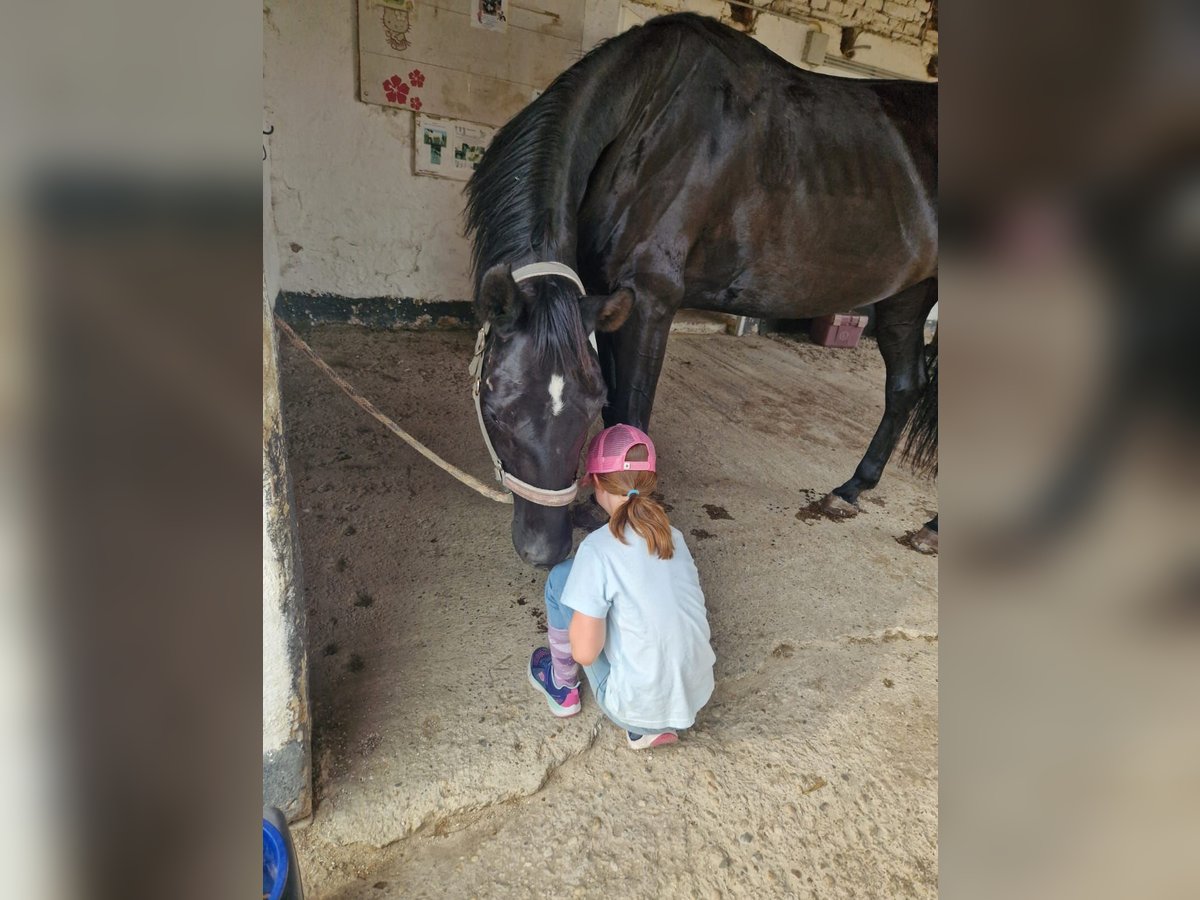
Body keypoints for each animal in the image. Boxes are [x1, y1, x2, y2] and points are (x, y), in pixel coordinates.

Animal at [463, 12, 931, 564]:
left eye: (586, 408)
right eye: (496, 411)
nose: (546, 551)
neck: (648, 118)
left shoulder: (649, 298)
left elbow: (630, 411)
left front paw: (613, 507)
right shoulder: (608, 300)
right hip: (906, 299)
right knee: (905, 387)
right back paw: (852, 489)